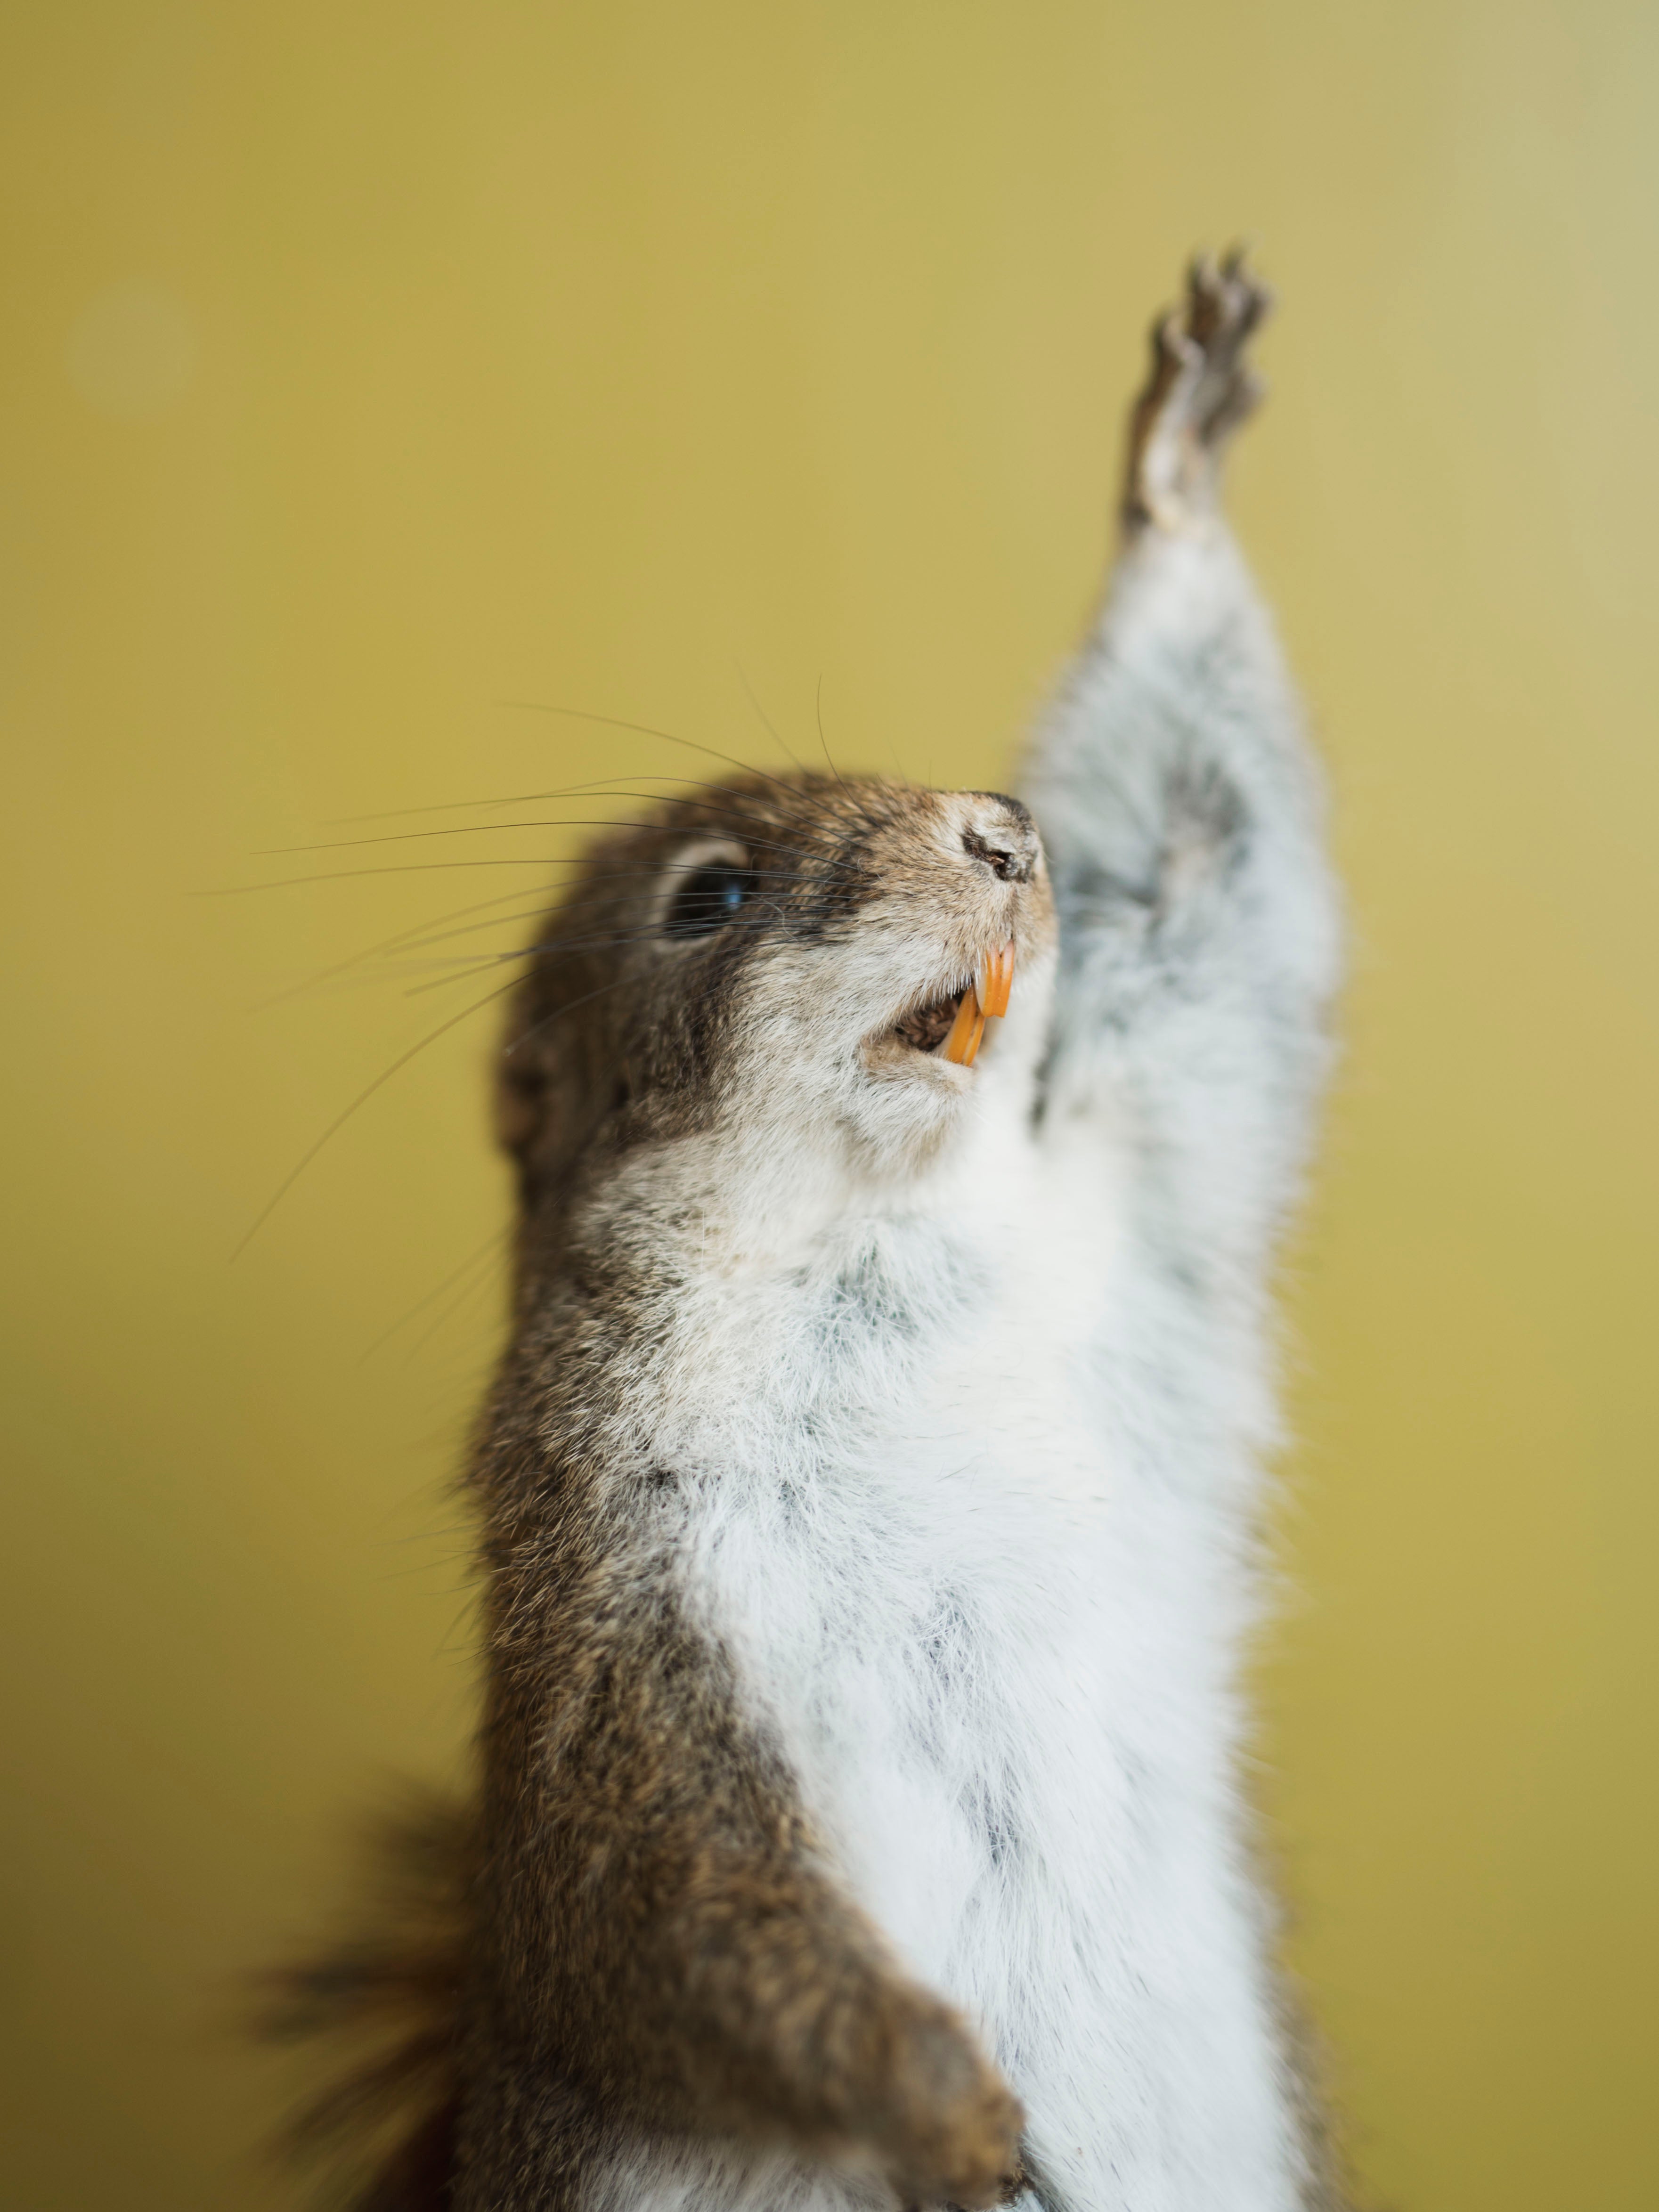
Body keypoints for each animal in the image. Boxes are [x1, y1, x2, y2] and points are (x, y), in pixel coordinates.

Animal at [260, 255, 1345, 2212]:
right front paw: (946, 2105)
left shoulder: (1140, 1169)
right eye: (714, 898)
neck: (875, 1225)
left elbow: (1208, 886)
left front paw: (1174, 471)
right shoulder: (615, 1601)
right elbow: (677, 1911)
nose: (1006, 834)